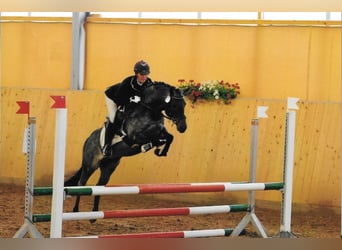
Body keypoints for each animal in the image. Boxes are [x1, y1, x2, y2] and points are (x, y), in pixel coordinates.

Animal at [64, 81, 187, 220]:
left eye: (184, 105)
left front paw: (160, 151)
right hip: (90, 165)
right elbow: (153, 139)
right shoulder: (134, 137)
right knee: (81, 183)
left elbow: (169, 137)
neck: (150, 110)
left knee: (99, 186)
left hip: (108, 167)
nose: (183, 127)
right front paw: (152, 147)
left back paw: (94, 215)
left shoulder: (159, 131)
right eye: (175, 105)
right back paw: (76, 210)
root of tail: (88, 139)